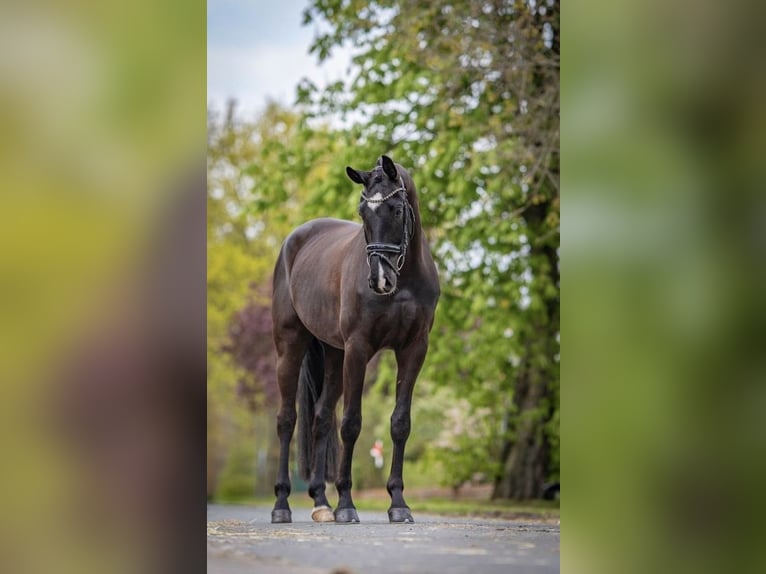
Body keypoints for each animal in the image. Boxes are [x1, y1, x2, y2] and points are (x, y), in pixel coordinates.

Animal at [272, 155, 440, 524]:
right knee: (287, 420)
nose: (379, 279)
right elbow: (351, 423)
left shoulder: (414, 349)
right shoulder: (359, 348)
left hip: (334, 355)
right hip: (291, 347)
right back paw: (282, 505)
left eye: (396, 209)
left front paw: (398, 503)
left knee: (321, 419)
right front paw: (347, 504)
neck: (405, 280)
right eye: (363, 212)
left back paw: (321, 503)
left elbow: (400, 423)